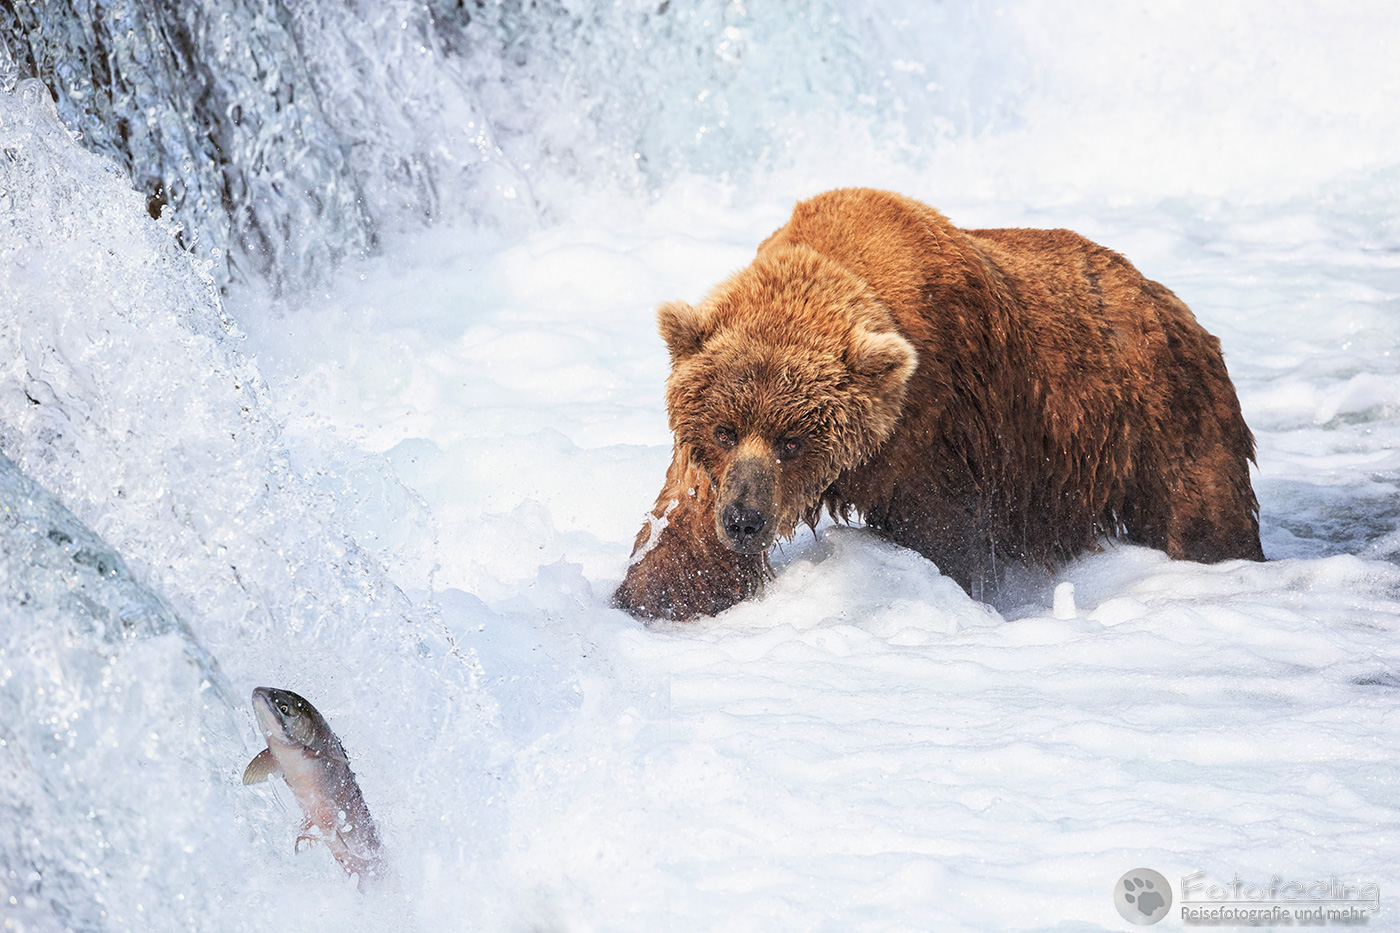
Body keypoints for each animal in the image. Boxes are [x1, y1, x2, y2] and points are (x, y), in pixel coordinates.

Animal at [613, 187, 1264, 621]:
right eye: (725, 429)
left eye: (792, 441)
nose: (745, 520)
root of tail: (1170, 301)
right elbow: (683, 527)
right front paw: (652, 598)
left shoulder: (934, 423)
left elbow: (940, 526)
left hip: (1155, 411)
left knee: (1201, 507)